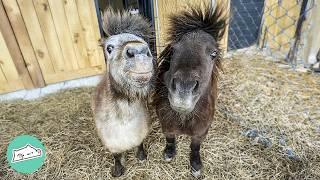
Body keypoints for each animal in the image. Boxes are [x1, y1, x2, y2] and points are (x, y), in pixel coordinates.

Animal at [154, 3, 228, 177]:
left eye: (214, 53)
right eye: (173, 49)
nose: (183, 89)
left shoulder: (200, 131)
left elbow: (195, 147)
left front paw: (195, 165)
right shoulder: (166, 124)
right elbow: (170, 139)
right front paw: (169, 153)